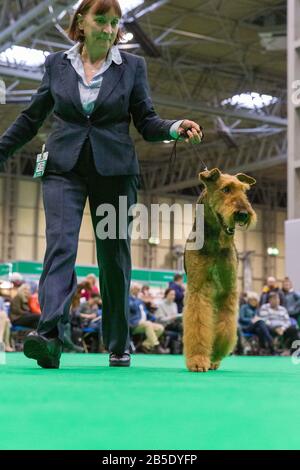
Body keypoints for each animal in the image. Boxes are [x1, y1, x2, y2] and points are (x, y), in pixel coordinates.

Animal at [183, 168, 255, 370]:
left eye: (244, 191)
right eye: (226, 189)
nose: (243, 213)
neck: (216, 242)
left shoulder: (228, 290)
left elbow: (225, 328)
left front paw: (214, 353)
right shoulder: (198, 290)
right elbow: (198, 325)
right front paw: (198, 360)